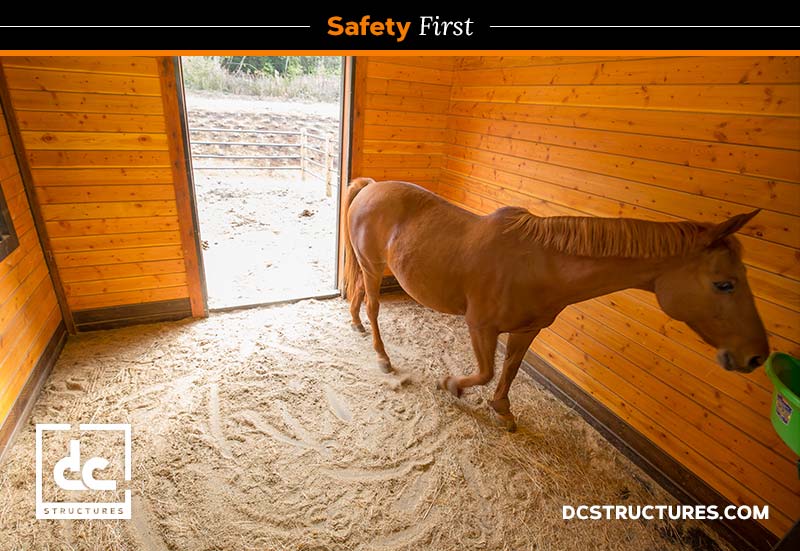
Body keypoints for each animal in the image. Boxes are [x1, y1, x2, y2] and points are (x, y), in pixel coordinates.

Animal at [342, 178, 768, 432]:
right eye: (724, 284)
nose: (756, 356)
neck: (538, 264)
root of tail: (371, 186)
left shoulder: (527, 330)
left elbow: (509, 371)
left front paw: (503, 410)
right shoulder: (481, 327)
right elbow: (485, 372)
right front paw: (451, 385)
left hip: (368, 268)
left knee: (360, 296)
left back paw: (356, 326)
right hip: (373, 266)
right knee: (375, 308)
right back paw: (382, 356)